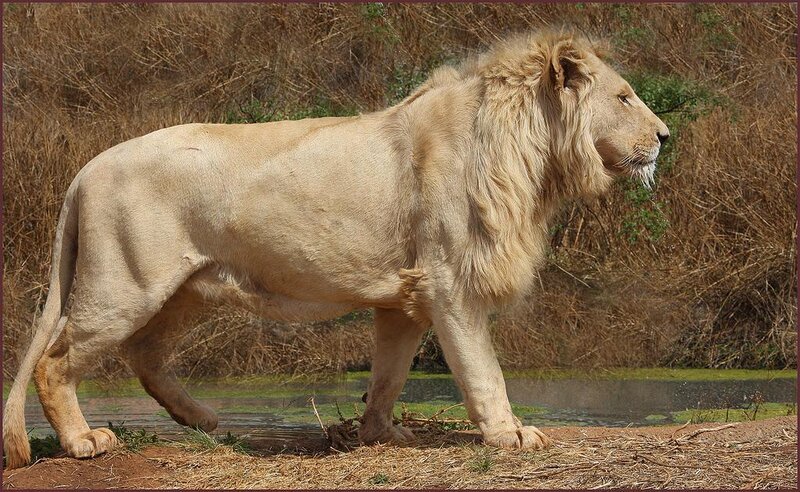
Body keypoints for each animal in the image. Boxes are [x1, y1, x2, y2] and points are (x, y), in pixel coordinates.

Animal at [3, 29, 668, 468]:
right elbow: (482, 369)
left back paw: (204, 420)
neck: (529, 150)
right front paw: (510, 434)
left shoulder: (406, 297)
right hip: (123, 283)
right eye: (625, 97)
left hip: (186, 290)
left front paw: (380, 434)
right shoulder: (450, 281)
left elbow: (391, 374)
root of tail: (84, 171)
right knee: (55, 362)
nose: (665, 136)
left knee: (143, 354)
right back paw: (84, 443)